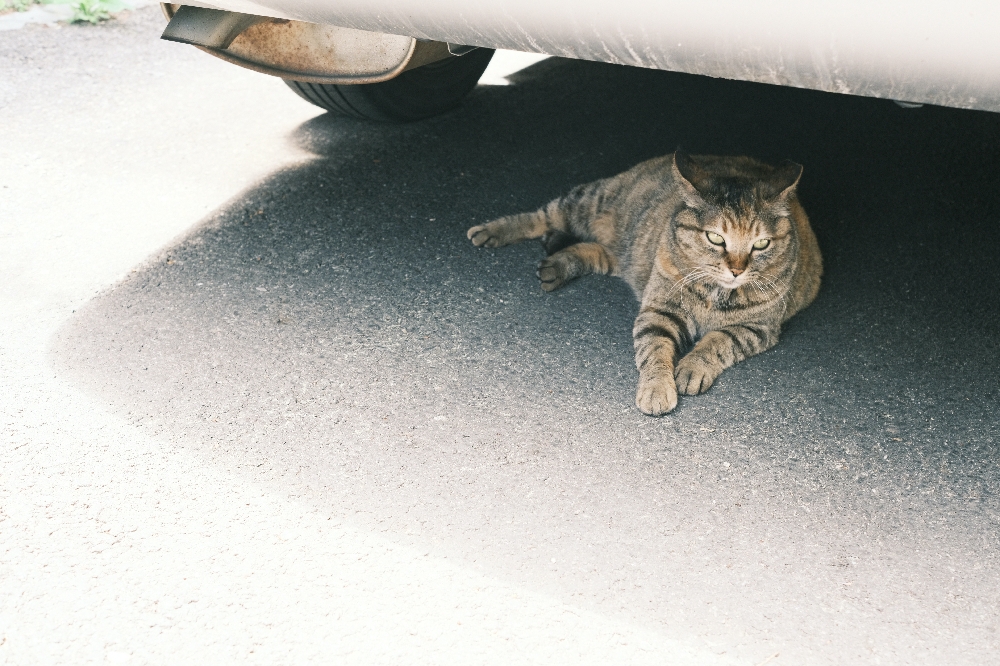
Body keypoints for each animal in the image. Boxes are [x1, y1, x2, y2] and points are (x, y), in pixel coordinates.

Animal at [466, 148, 820, 412]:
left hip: (623, 256)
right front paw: (657, 388)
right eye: (716, 238)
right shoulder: (658, 311)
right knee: (542, 215)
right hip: (587, 201)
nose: (737, 270)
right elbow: (655, 349)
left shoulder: (757, 328)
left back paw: (557, 265)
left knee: (592, 249)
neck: (716, 293)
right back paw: (494, 230)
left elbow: (717, 342)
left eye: (761, 244)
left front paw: (692, 366)